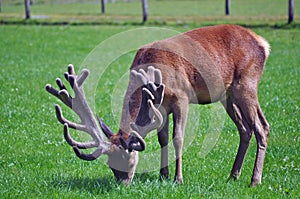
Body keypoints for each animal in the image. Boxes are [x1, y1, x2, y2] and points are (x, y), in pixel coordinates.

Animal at [45, 24, 270, 187]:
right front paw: (163, 175)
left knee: (262, 127)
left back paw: (254, 180)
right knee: (245, 129)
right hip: (227, 95)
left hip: (247, 84)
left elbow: (178, 138)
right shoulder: (160, 106)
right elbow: (162, 139)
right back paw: (233, 176)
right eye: (110, 165)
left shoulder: (182, 97)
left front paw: (178, 179)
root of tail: (263, 43)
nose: (122, 184)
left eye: (127, 159)